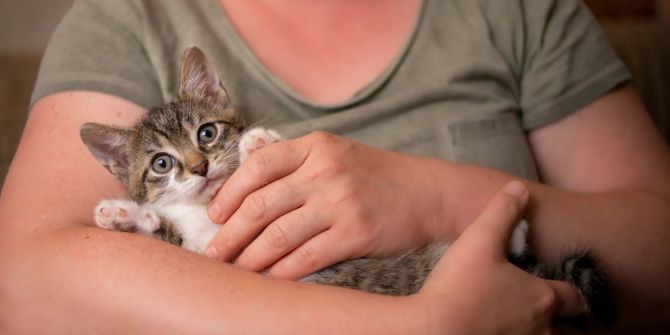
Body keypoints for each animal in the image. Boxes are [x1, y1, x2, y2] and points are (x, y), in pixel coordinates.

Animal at [79, 46, 616, 326]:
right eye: (162, 164)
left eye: (206, 133)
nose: (199, 167)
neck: (209, 212)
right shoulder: (210, 252)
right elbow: (167, 232)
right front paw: (123, 215)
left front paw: (258, 145)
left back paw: (517, 227)